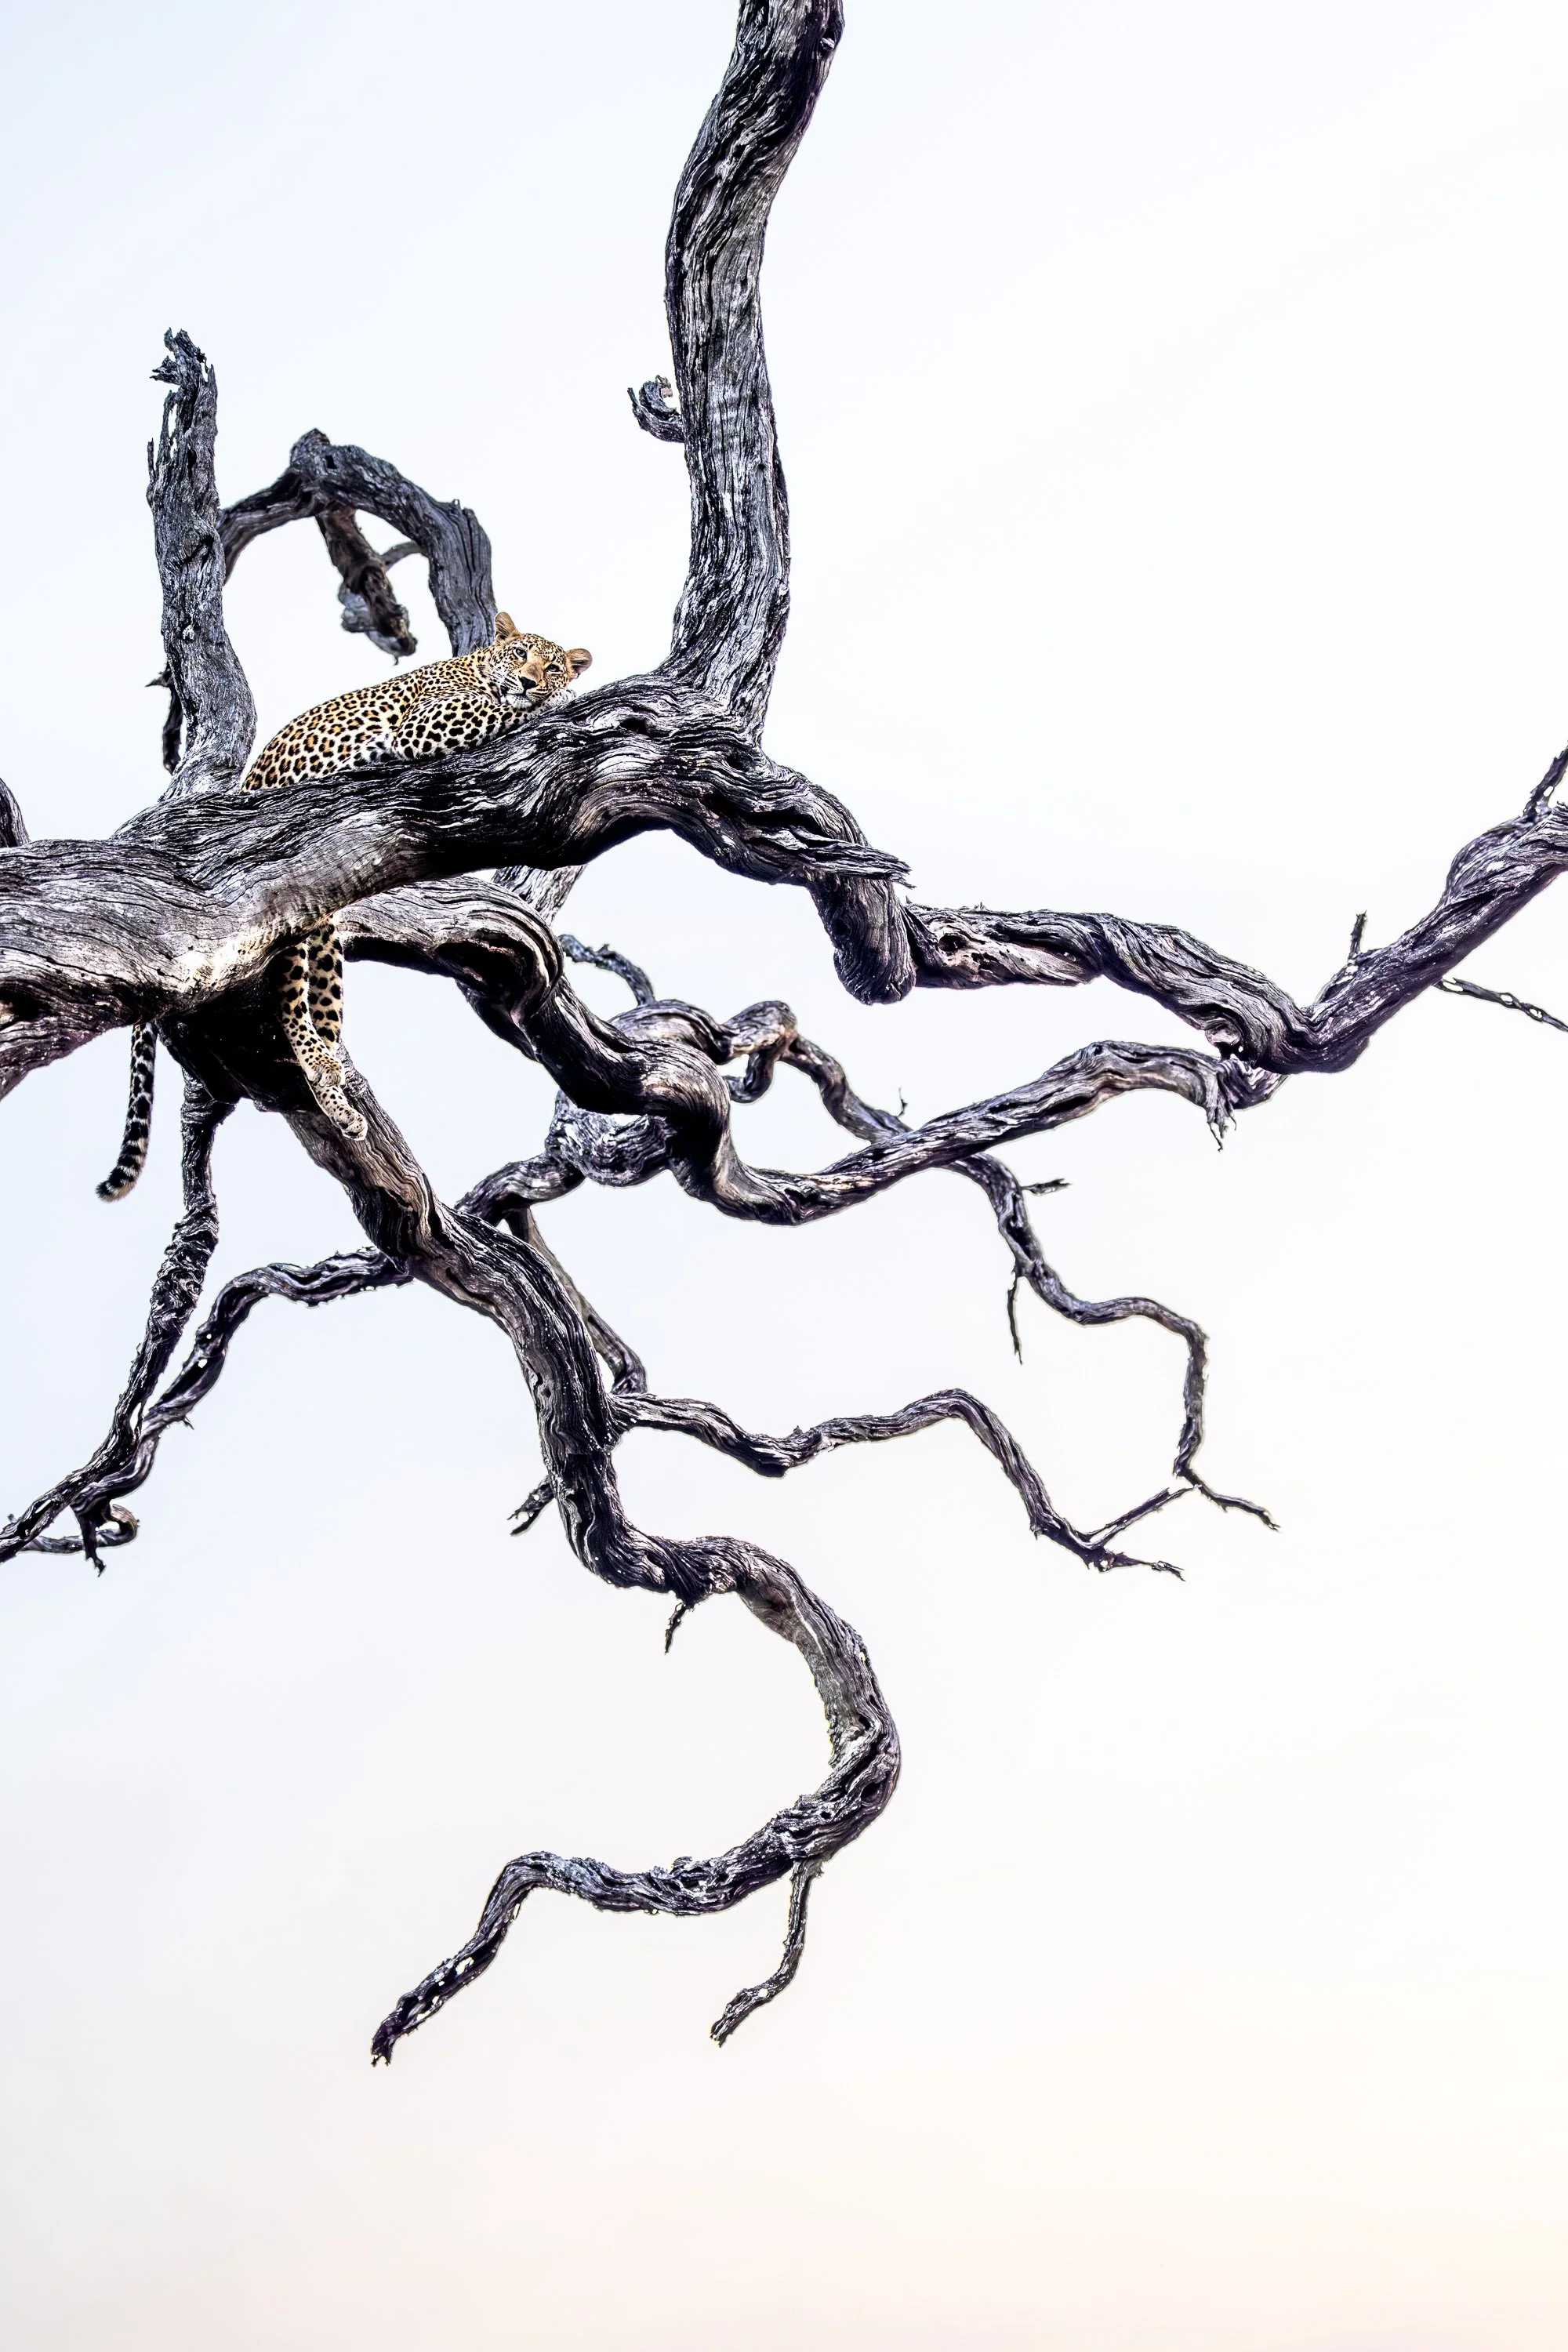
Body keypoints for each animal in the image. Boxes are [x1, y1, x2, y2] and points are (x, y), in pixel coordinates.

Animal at [97, 615, 591, 1199]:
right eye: (518, 655)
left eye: (552, 664)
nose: (533, 681)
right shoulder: (424, 725)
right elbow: (504, 711)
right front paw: (556, 700)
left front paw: (557, 694)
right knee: (290, 1008)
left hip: (325, 936)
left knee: (321, 1021)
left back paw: (342, 1102)